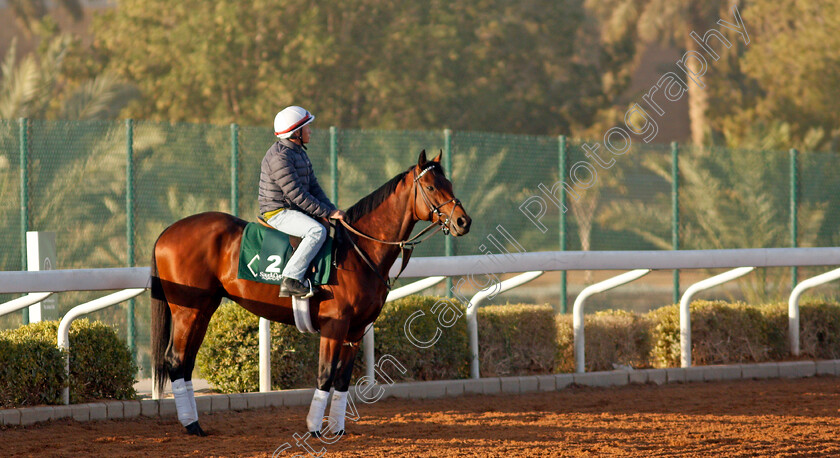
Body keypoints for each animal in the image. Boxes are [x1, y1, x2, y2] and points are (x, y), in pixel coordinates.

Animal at [148, 150, 470, 436]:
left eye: (450, 184)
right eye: (431, 186)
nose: (463, 222)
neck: (358, 251)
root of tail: (167, 232)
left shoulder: (356, 330)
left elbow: (342, 379)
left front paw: (337, 428)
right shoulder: (334, 325)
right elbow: (325, 374)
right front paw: (314, 428)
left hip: (203, 308)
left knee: (186, 363)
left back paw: (194, 423)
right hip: (187, 309)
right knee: (175, 359)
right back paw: (191, 424)